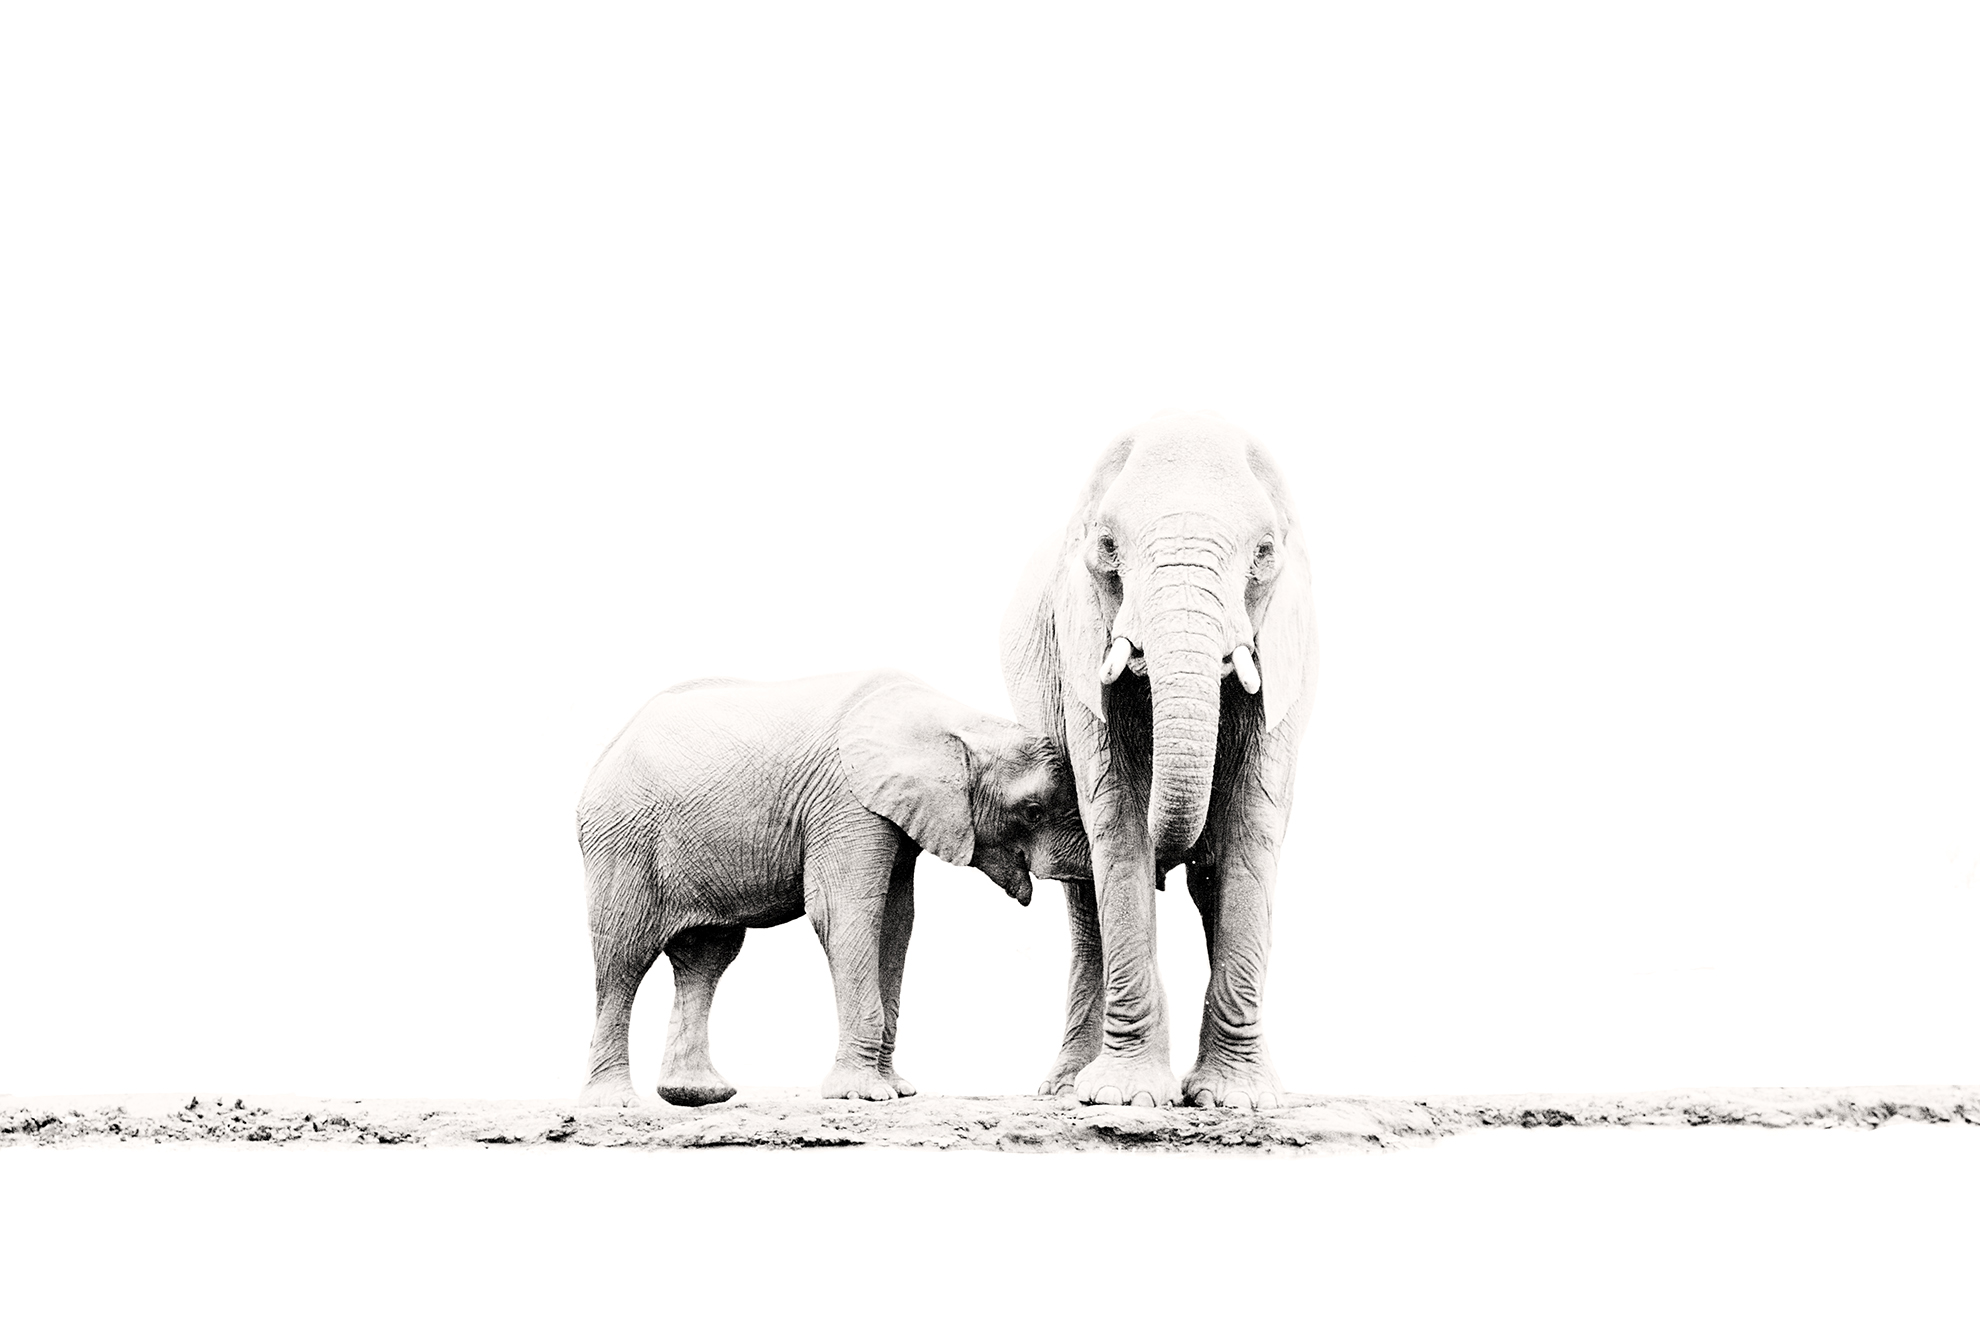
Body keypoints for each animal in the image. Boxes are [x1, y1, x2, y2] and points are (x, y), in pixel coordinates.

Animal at [576, 669, 1090, 1107]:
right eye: (1032, 810)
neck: (955, 720)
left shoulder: (893, 815)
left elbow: (896, 924)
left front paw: (897, 1091)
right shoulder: (846, 803)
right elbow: (845, 912)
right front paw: (863, 1096)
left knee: (707, 959)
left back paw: (698, 1095)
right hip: (623, 841)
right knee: (624, 956)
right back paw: (614, 1102)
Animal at [1000, 414, 1318, 1109]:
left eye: (1264, 553)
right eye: (1107, 545)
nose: (1175, 853)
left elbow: (1250, 830)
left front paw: (1239, 1102)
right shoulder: (1080, 648)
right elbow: (1118, 823)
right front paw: (1125, 1099)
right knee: (1084, 897)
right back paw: (1065, 1089)